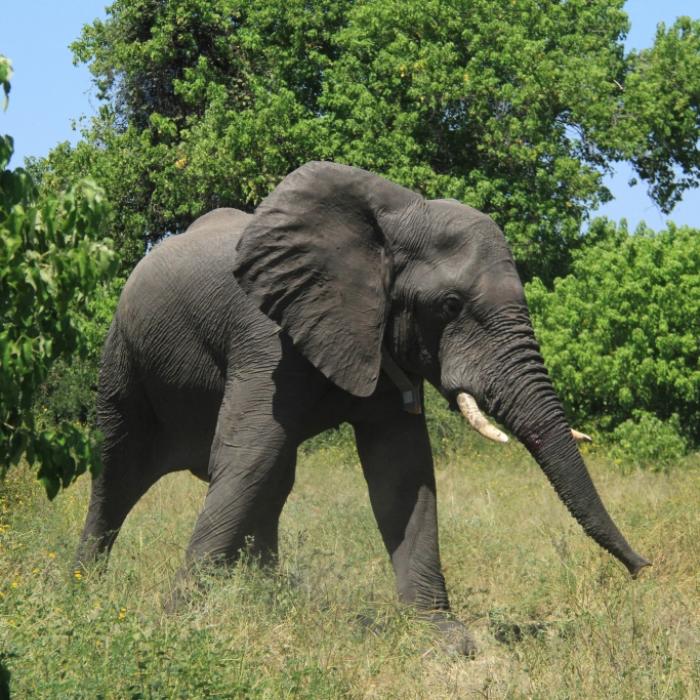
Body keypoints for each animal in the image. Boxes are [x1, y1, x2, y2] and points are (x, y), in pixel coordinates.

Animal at [76, 161, 649, 655]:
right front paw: (178, 621)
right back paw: (83, 586)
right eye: (450, 306)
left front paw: (445, 639)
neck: (392, 223)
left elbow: (402, 472)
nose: (644, 569)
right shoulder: (265, 335)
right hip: (122, 354)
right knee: (119, 466)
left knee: (274, 478)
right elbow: (244, 456)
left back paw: (267, 595)